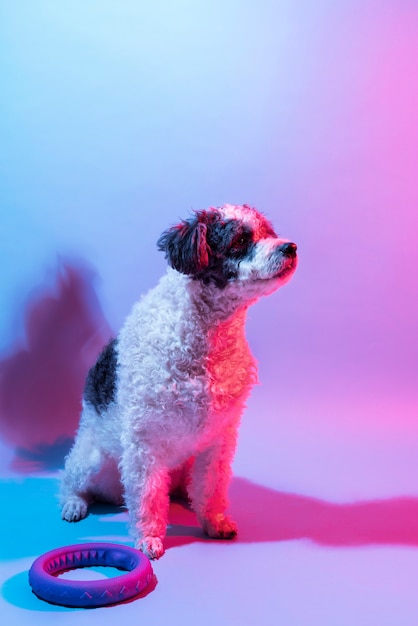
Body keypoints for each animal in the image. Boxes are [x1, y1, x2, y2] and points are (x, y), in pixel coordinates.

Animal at [60, 204, 298, 556]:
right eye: (240, 240)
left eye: (269, 232)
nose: (290, 247)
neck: (205, 338)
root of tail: (115, 493)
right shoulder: (144, 442)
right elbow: (147, 496)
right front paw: (149, 537)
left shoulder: (219, 437)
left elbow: (212, 486)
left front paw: (214, 521)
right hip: (91, 459)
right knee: (71, 482)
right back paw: (74, 503)